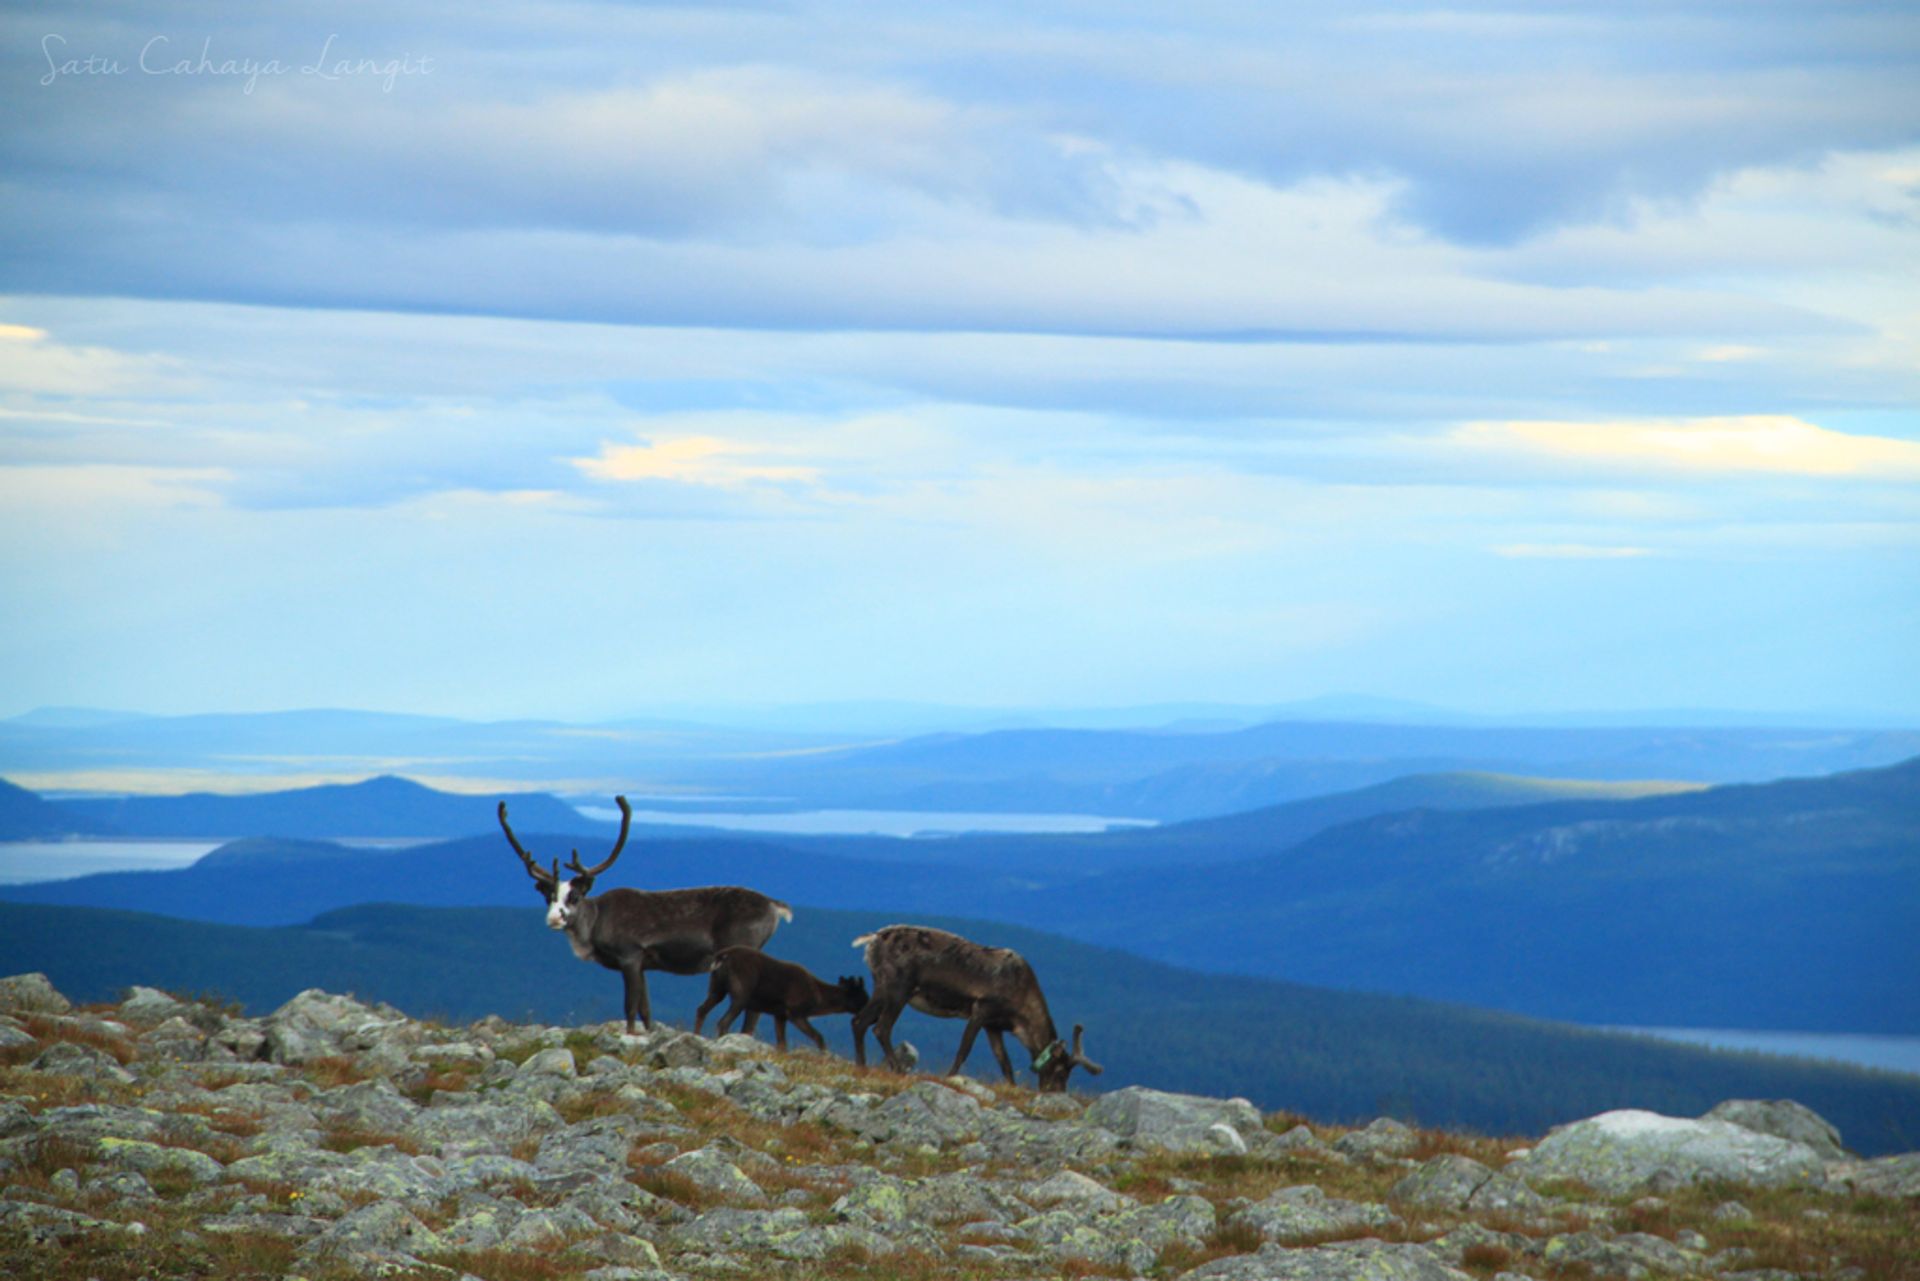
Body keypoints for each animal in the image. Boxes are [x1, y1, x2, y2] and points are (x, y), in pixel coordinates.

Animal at [691, 952, 871, 1052]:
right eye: (863, 996)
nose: (870, 1011)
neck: (818, 996)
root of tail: (721, 957)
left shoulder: (779, 1015)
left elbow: (782, 1044)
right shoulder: (795, 1014)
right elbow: (818, 1036)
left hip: (717, 989)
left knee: (701, 1009)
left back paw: (696, 1036)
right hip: (740, 997)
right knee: (723, 1022)